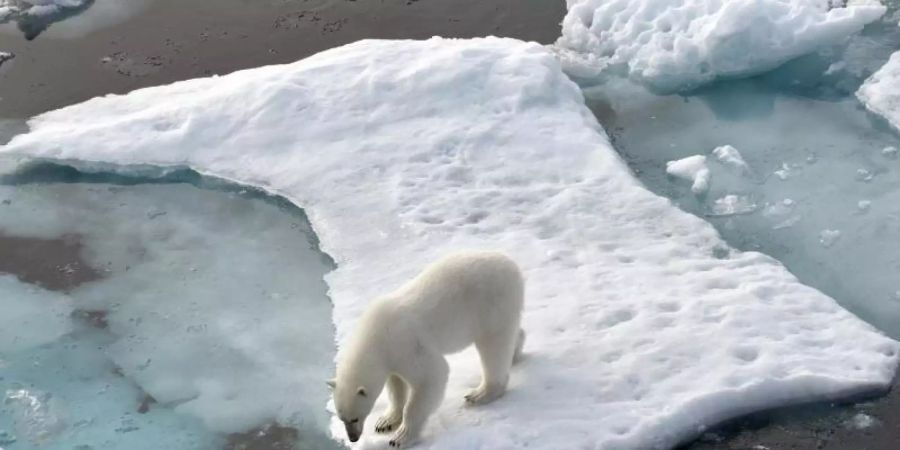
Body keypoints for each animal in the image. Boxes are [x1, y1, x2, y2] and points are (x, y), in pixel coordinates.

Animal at [328, 250, 528, 446]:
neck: (375, 335)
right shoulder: (392, 356)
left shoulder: (406, 344)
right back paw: (515, 353)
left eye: (354, 418)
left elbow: (431, 376)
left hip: (491, 303)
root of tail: (513, 266)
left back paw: (480, 393)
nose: (353, 438)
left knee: (494, 346)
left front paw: (400, 437)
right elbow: (396, 385)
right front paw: (385, 422)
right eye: (341, 418)